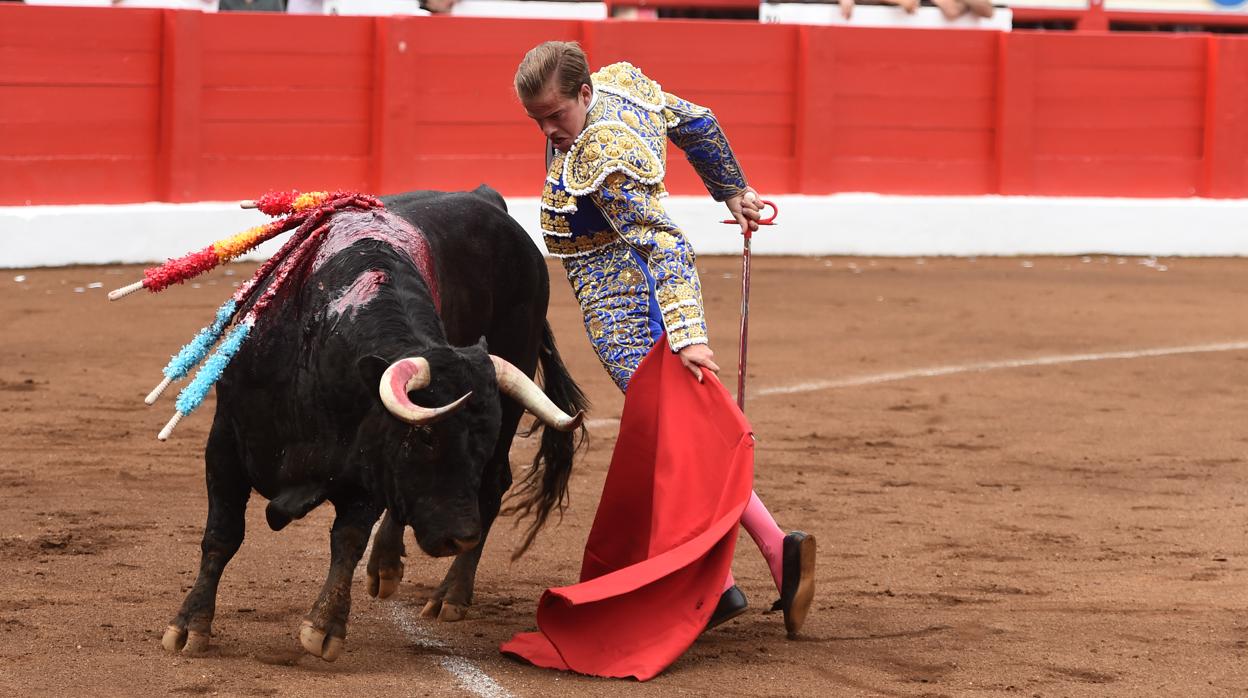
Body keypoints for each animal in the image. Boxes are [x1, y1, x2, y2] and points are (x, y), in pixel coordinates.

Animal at [160, 186, 589, 659]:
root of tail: (487, 197)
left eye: (483, 439)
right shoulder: (226, 443)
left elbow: (348, 537)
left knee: (492, 487)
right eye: (425, 436)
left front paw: (325, 626)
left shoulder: (368, 462)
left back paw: (450, 595)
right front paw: (189, 625)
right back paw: (388, 566)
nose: (461, 537)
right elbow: (222, 534)